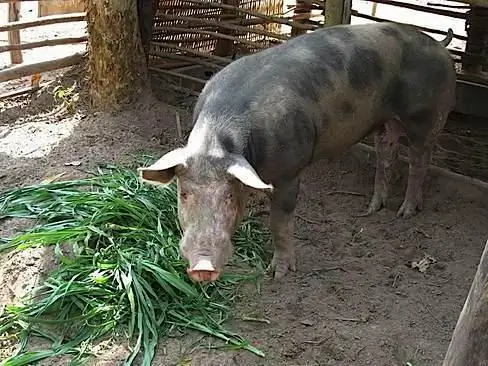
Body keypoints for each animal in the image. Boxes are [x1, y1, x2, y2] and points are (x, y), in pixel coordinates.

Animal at [140, 22, 458, 284]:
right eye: (184, 194)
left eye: (227, 196)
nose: (202, 266)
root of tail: (440, 44)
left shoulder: (290, 169)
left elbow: (280, 220)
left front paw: (279, 274)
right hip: (385, 122)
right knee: (386, 155)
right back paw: (373, 209)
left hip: (427, 116)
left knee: (420, 159)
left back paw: (406, 213)